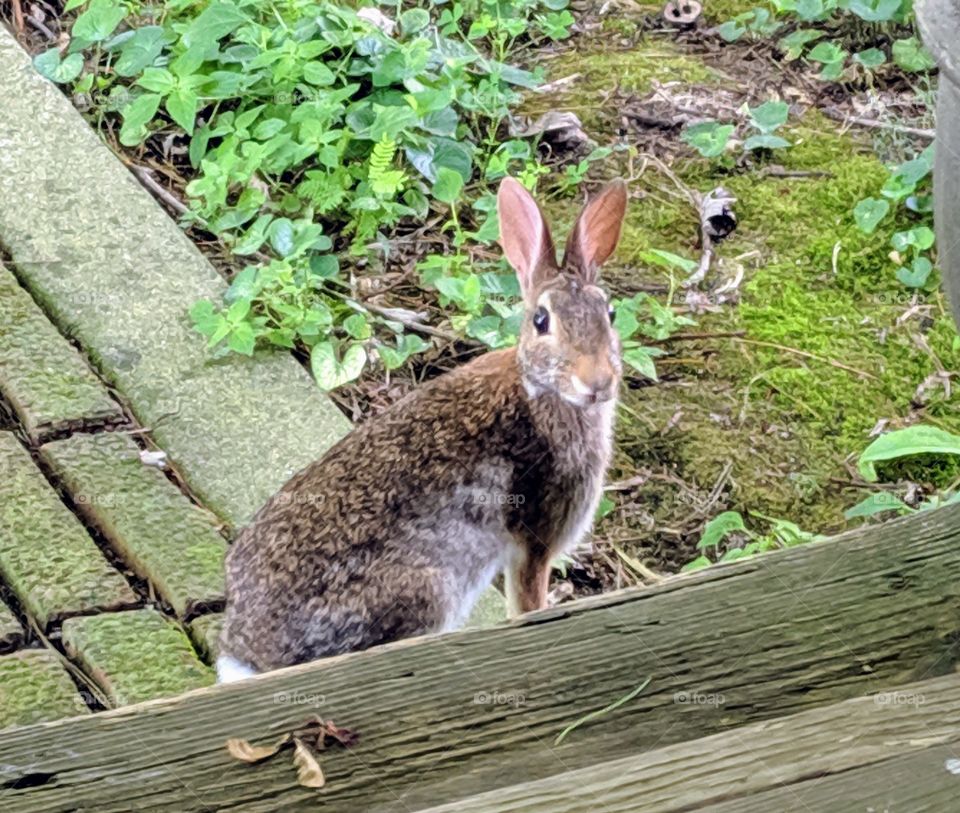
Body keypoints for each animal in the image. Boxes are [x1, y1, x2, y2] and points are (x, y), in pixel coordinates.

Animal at [216, 177, 628, 682]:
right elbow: (527, 602)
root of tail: (247, 656)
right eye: (541, 320)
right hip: (429, 591)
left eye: (610, 314)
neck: (540, 390)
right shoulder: (535, 542)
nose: (598, 382)